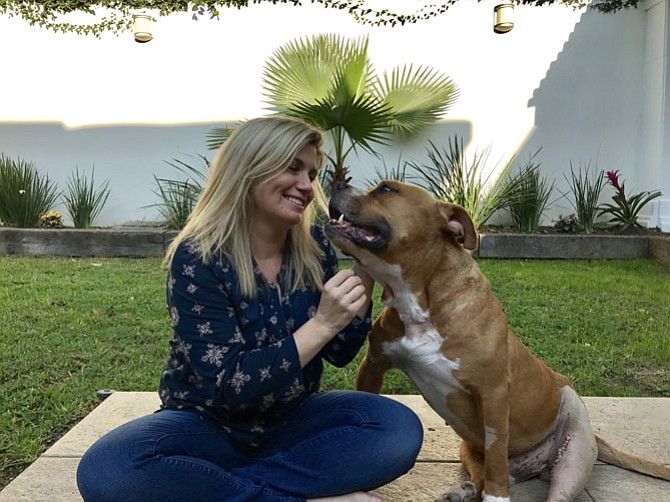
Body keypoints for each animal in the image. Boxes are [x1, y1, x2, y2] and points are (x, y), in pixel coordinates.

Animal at [326, 181, 670, 502]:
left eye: (386, 189)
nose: (338, 182)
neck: (423, 300)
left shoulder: (492, 392)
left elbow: (495, 458)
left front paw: (496, 496)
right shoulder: (375, 363)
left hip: (574, 448)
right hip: (467, 446)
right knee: (481, 472)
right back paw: (462, 490)